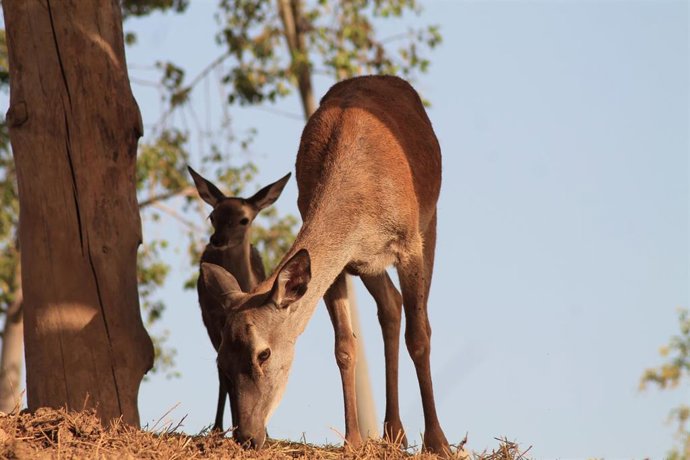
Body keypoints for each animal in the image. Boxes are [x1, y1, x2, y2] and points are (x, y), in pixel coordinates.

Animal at [187, 165, 291, 432]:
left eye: (244, 219)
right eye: (212, 217)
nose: (217, 240)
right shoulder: (216, 323)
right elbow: (224, 371)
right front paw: (219, 427)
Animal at [200, 75, 451, 456]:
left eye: (263, 354)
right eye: (221, 360)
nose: (247, 435)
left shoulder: (408, 243)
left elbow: (420, 337)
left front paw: (439, 443)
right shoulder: (338, 264)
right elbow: (344, 346)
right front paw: (353, 440)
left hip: (429, 221)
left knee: (413, 317)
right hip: (368, 265)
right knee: (390, 305)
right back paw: (393, 432)